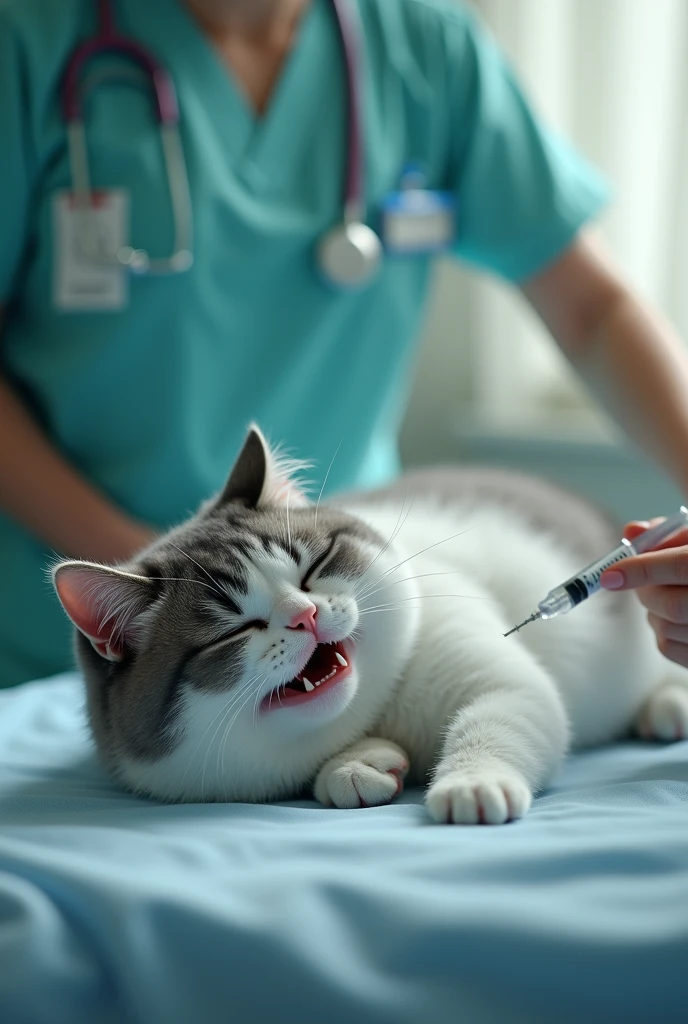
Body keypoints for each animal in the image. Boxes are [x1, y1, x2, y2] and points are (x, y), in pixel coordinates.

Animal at [52, 423, 688, 823]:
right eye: (234, 630)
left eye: (314, 569)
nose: (306, 615)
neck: (376, 710)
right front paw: (359, 766)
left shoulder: (492, 675)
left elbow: (500, 714)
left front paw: (470, 783)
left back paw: (668, 702)